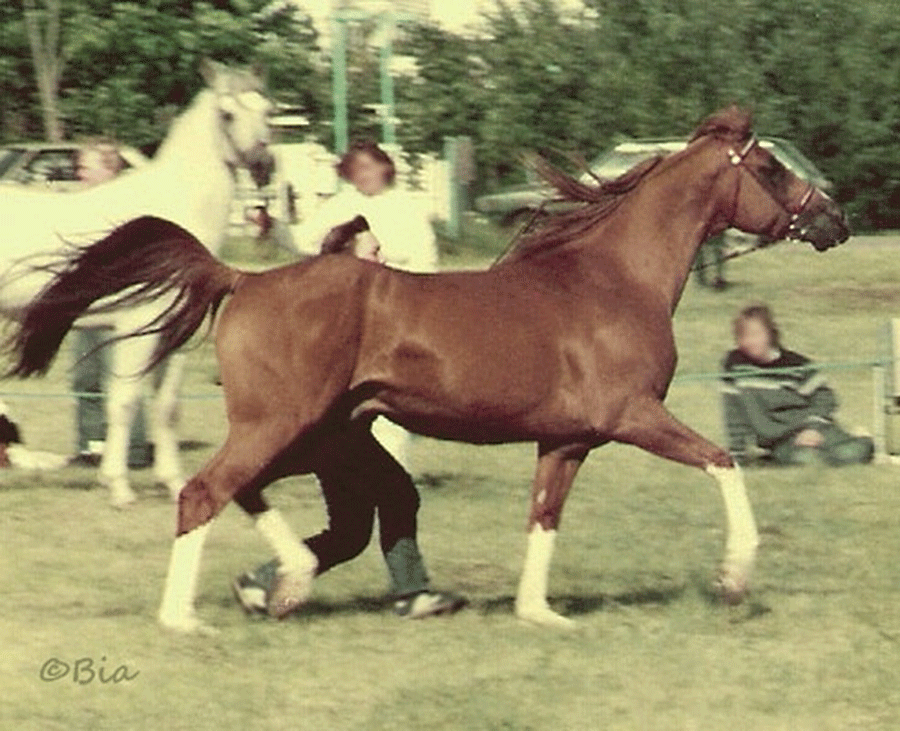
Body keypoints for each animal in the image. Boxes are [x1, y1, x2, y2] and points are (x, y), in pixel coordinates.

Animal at [0, 61, 276, 508]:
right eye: (227, 114)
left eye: (268, 110)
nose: (263, 165)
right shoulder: (136, 330)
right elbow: (125, 402)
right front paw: (119, 488)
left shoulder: (175, 336)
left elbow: (166, 407)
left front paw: (173, 483)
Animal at [8, 106, 852, 632]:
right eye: (771, 167)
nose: (834, 218)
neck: (613, 279)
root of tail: (241, 279)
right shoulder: (633, 415)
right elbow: (723, 461)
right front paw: (735, 577)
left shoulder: (567, 440)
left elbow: (543, 517)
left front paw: (539, 611)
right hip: (281, 424)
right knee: (204, 491)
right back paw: (191, 616)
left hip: (321, 433)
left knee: (288, 503)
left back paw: (282, 584)